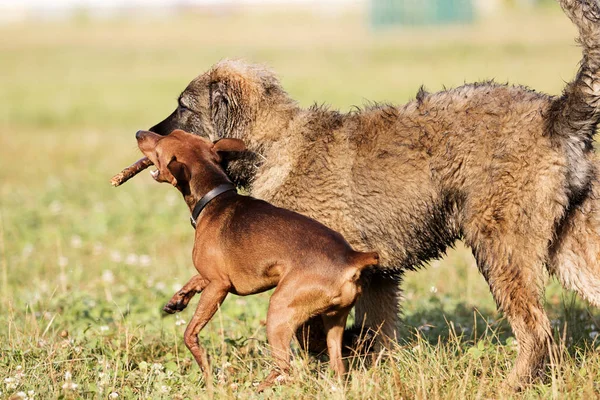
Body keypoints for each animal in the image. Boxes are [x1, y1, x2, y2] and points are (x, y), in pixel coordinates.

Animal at [138, 129, 378, 390]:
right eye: (175, 133)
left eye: (159, 145)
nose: (139, 133)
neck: (213, 198)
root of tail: (352, 258)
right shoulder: (213, 277)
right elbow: (195, 279)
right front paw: (177, 299)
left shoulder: (218, 286)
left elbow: (190, 333)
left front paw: (206, 371)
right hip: (334, 321)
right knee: (337, 367)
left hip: (279, 311)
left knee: (286, 367)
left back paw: (257, 388)